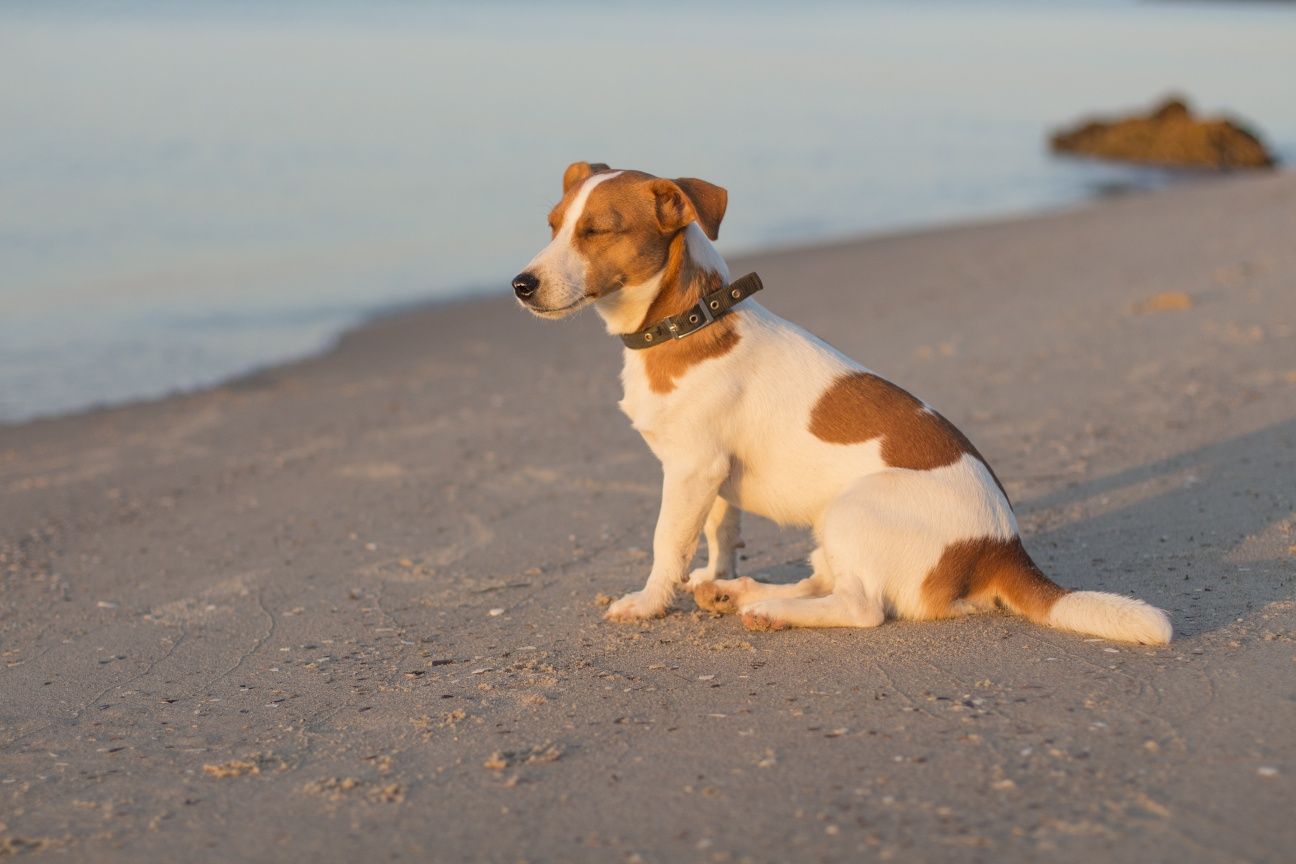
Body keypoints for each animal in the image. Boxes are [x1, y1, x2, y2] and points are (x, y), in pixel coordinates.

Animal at [508, 165, 1176, 645]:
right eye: (552, 225)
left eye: (599, 230)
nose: (520, 285)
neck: (686, 322)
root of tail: (1002, 548)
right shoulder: (715, 477)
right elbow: (720, 535)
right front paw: (713, 576)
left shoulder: (692, 469)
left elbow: (666, 544)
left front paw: (648, 603)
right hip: (834, 524)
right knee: (825, 578)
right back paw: (741, 593)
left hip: (853, 507)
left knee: (861, 607)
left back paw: (768, 611)